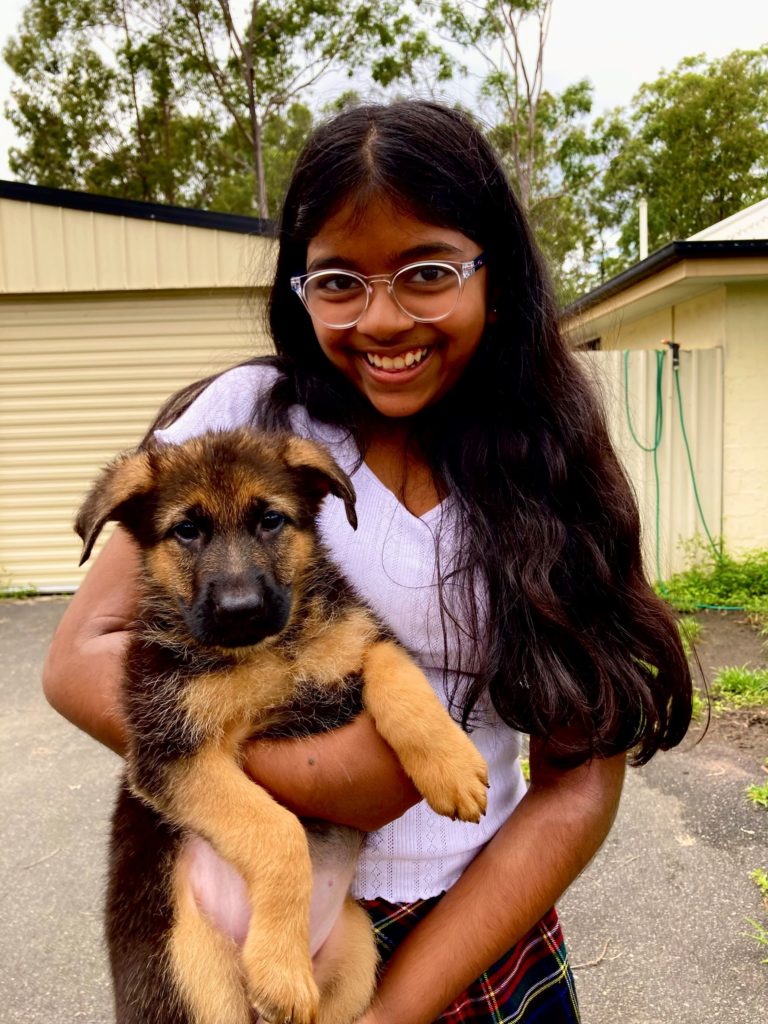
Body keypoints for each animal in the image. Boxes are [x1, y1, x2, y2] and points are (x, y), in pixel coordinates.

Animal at [76, 428, 487, 1024]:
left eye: (270, 520)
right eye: (186, 531)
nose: (240, 610)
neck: (271, 651)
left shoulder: (358, 640)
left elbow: (397, 672)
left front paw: (452, 768)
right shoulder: (172, 753)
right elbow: (277, 828)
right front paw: (280, 972)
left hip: (356, 957)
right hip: (193, 977)